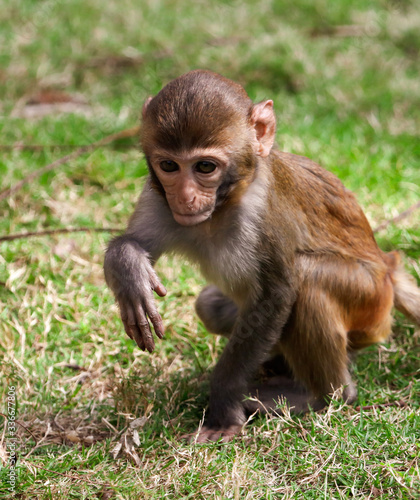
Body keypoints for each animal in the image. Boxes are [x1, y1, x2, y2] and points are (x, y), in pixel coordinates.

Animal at [104, 69, 420, 442]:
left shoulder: (264, 214)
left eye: (205, 167)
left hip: (369, 299)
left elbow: (276, 295)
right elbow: (134, 242)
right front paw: (130, 274)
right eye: (169, 165)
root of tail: (387, 268)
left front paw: (223, 404)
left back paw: (323, 395)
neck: (223, 206)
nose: (184, 197)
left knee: (309, 282)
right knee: (211, 308)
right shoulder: (158, 199)